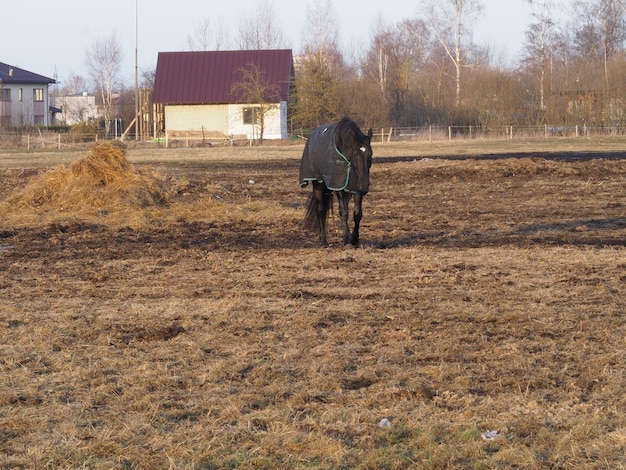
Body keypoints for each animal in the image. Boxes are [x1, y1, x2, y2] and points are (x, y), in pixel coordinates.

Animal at [298, 116, 370, 246]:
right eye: (355, 154)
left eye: (370, 154)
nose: (364, 184)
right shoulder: (338, 185)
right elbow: (343, 211)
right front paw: (346, 240)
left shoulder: (356, 189)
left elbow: (357, 213)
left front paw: (354, 239)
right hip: (318, 185)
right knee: (320, 210)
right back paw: (323, 240)